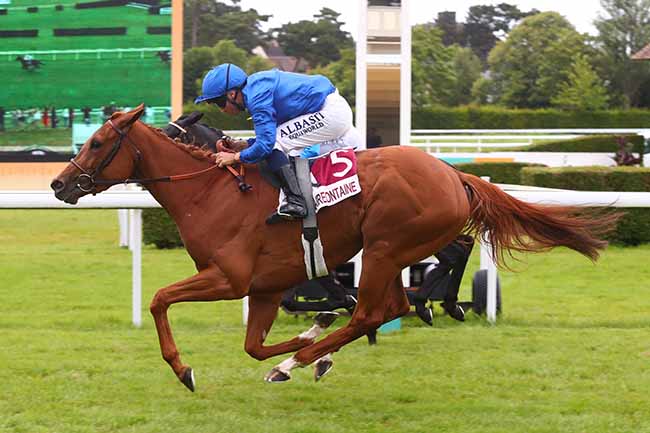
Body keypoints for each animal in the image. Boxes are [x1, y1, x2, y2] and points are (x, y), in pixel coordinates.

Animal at [50, 105, 616, 392]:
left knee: (373, 310)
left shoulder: (229, 278)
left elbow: (159, 299)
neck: (210, 192)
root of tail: (452, 172)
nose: (59, 184)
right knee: (398, 296)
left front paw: (184, 369)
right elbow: (254, 344)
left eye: (97, 143)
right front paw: (308, 337)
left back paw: (304, 361)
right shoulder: (265, 287)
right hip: (396, 250)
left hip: (386, 246)